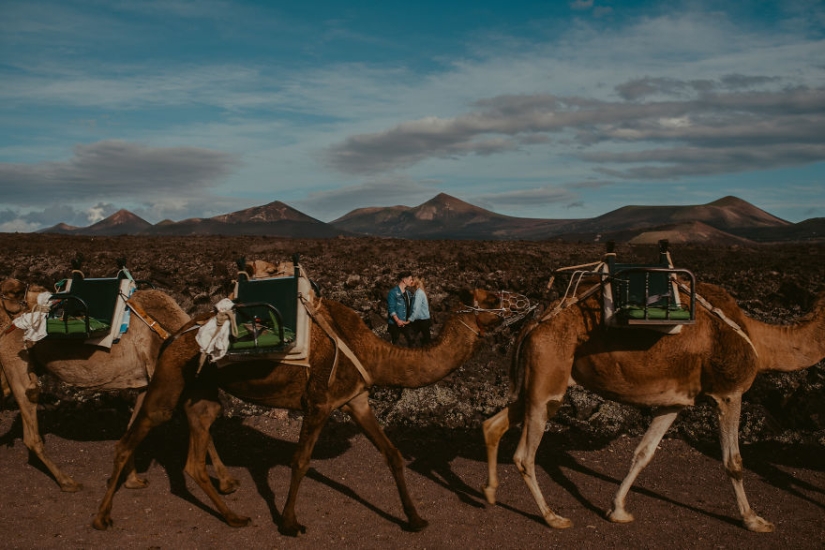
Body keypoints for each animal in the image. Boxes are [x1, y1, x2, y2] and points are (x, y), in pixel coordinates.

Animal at [0, 280, 237, 496]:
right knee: (31, 431)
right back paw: (68, 482)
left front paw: (133, 480)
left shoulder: (145, 383)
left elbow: (132, 429)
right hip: (15, 361)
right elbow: (201, 428)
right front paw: (227, 483)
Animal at [90, 292, 528, 536]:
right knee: (132, 437)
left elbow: (392, 454)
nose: (524, 304)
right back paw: (102, 517)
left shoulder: (356, 400)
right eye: (491, 299)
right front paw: (289, 524)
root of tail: (174, 335)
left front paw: (415, 519)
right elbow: (300, 460)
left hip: (202, 393)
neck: (374, 352)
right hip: (169, 382)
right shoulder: (319, 403)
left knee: (194, 456)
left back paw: (234, 517)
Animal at [482, 282, 824, 532]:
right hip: (547, 381)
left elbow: (643, 453)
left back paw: (490, 493)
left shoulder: (673, 401)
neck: (759, 340)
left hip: (534, 387)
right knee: (524, 456)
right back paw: (552, 517)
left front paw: (618, 510)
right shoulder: (729, 392)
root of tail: (533, 324)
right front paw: (754, 520)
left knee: (494, 424)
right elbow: (734, 461)